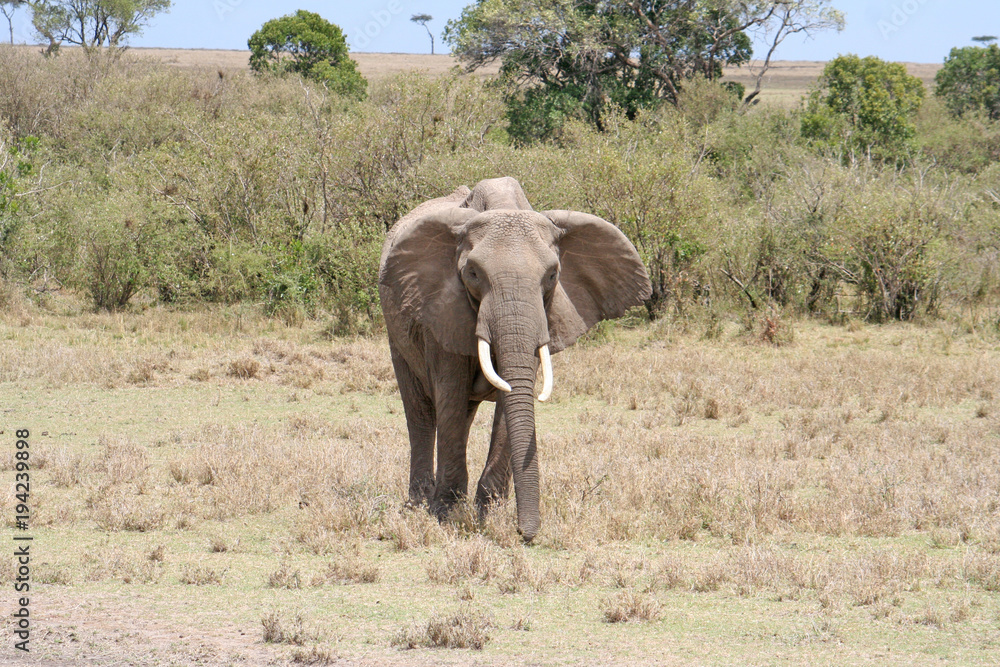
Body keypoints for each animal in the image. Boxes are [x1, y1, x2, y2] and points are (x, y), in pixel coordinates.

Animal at [378, 177, 651, 541]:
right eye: (473, 273)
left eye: (552, 275)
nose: (528, 534)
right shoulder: (440, 307)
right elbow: (450, 392)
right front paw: (447, 517)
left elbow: (514, 398)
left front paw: (489, 516)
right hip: (398, 328)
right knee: (421, 409)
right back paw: (417, 505)